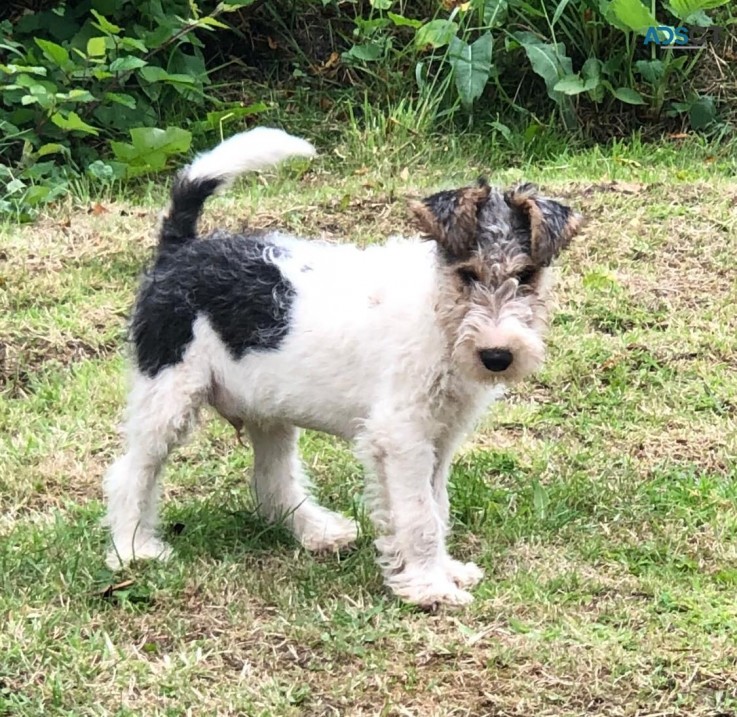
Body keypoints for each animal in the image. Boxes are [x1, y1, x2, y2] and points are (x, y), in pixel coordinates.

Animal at [102, 126, 580, 608]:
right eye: (468, 274)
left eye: (526, 276)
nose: (497, 356)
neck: (439, 313)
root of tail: (180, 250)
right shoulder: (402, 435)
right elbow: (420, 515)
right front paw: (429, 586)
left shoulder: (440, 436)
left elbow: (437, 505)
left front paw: (442, 572)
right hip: (168, 397)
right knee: (131, 473)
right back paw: (133, 551)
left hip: (266, 408)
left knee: (271, 481)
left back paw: (319, 532)